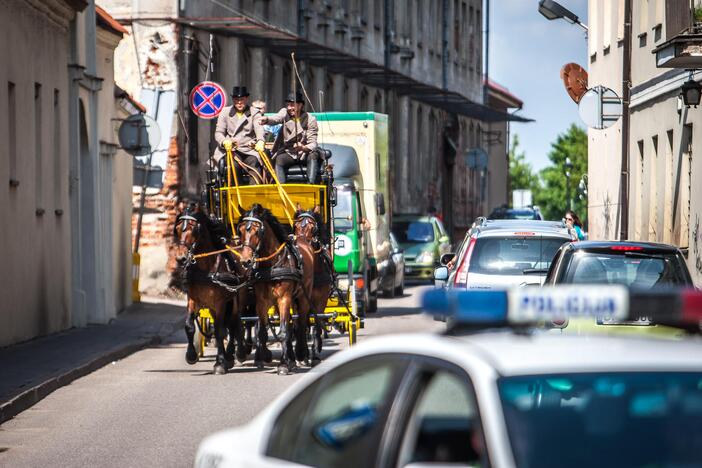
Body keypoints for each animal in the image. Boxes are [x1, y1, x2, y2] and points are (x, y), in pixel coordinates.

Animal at [174, 207, 249, 374]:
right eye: (177, 228)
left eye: (194, 228)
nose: (181, 258)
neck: (205, 269)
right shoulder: (193, 300)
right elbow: (189, 326)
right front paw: (191, 355)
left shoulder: (220, 303)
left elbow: (220, 331)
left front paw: (220, 363)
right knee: (230, 325)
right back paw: (229, 356)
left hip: (236, 299)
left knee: (235, 324)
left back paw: (237, 353)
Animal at [236, 205, 314, 376]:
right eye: (241, 230)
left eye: (257, 231)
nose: (246, 261)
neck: (272, 265)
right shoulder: (262, 301)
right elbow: (262, 331)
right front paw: (264, 356)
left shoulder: (284, 298)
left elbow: (284, 332)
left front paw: (283, 365)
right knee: (292, 324)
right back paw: (292, 359)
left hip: (303, 297)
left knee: (302, 323)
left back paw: (301, 354)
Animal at [292, 208, 334, 366]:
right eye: (296, 226)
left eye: (313, 228)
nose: (301, 243)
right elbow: (299, 322)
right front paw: (302, 354)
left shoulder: (320, 301)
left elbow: (317, 323)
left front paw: (315, 352)